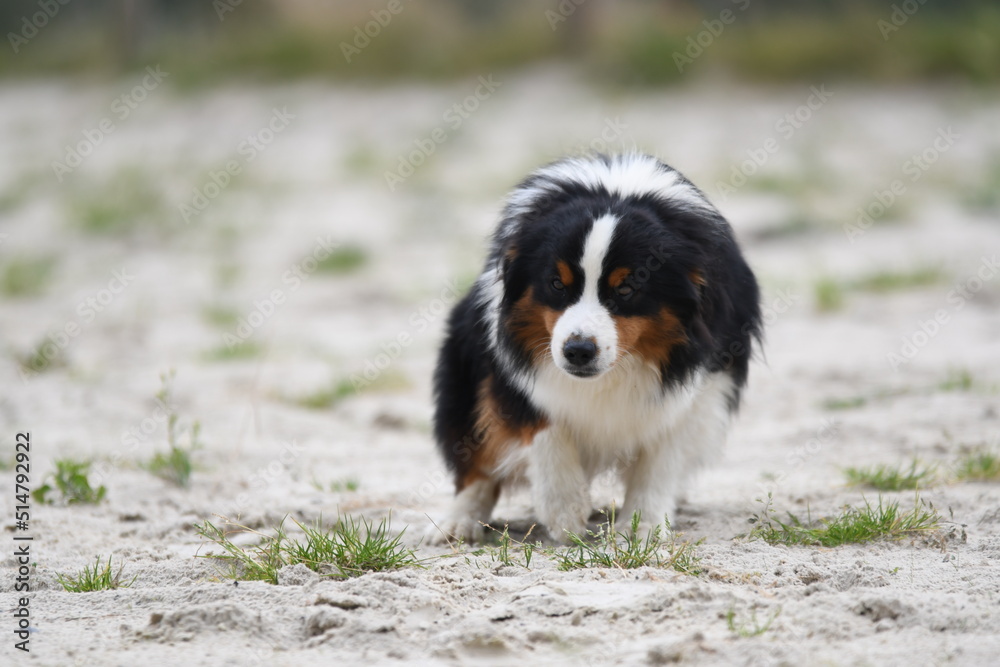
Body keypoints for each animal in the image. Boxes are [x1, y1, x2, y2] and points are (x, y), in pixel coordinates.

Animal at [426, 153, 760, 544]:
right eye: (556, 284)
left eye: (627, 288)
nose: (578, 351)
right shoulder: (512, 362)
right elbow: (543, 423)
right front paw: (564, 511)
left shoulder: (704, 384)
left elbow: (663, 453)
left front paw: (643, 525)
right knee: (474, 459)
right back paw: (458, 521)